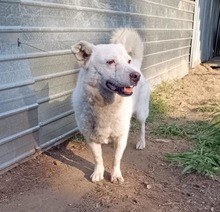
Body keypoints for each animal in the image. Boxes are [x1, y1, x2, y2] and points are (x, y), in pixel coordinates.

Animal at [71, 28, 150, 182]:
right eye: (110, 62)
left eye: (127, 60)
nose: (136, 76)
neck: (105, 105)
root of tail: (137, 65)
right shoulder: (90, 138)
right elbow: (98, 158)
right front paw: (98, 172)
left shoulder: (121, 137)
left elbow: (116, 159)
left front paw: (116, 175)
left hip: (141, 112)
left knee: (143, 126)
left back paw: (141, 142)